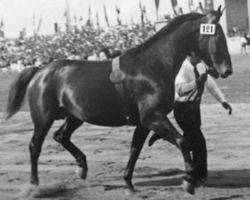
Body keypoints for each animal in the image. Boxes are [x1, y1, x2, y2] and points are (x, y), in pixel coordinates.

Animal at [6, 7, 232, 195]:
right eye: (218, 37)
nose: (227, 70)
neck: (152, 66)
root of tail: (41, 69)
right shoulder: (153, 118)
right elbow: (182, 141)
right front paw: (189, 179)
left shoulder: (144, 122)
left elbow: (135, 149)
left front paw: (128, 183)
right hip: (43, 118)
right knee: (35, 146)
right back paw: (35, 185)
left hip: (75, 116)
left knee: (61, 136)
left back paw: (82, 166)